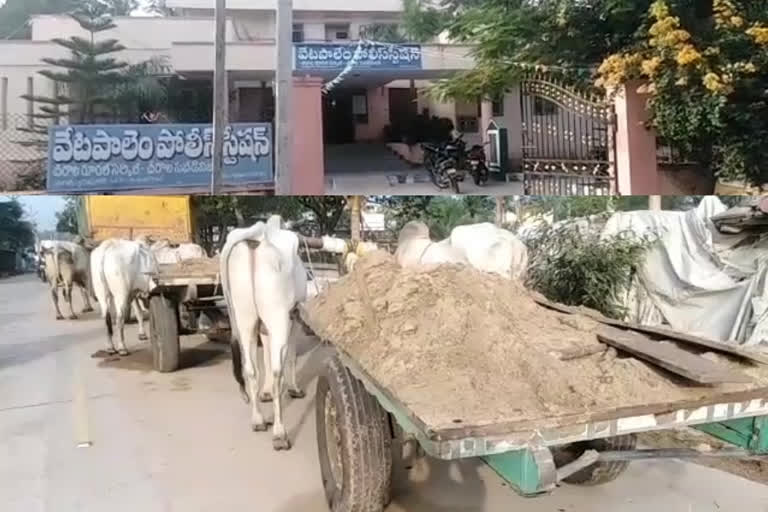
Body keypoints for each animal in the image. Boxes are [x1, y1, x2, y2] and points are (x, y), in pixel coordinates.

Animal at [220, 214, 304, 450]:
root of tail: (257, 235)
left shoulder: (264, 328)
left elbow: (265, 356)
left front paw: (264, 393)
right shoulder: (294, 318)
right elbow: (290, 357)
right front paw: (294, 389)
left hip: (244, 317)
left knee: (250, 369)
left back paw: (257, 419)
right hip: (278, 318)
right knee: (277, 372)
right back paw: (279, 433)